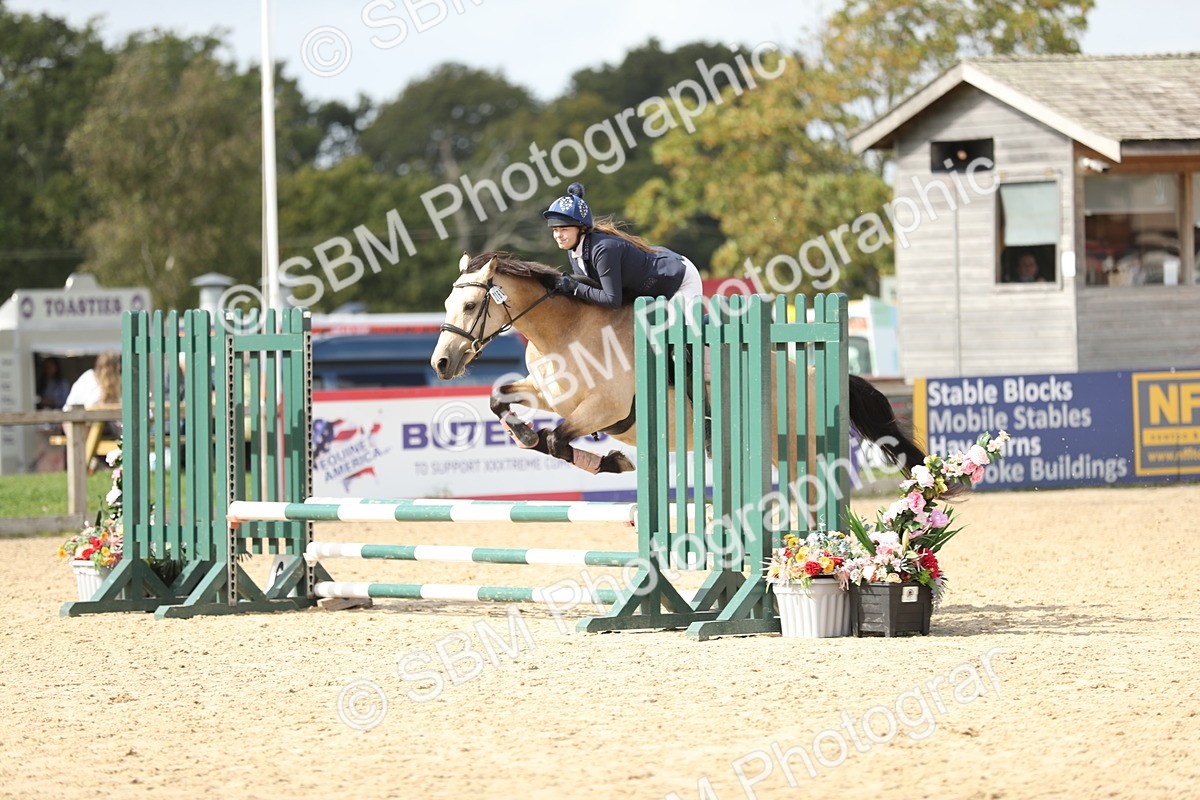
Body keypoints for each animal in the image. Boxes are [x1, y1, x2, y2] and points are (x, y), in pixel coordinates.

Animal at [430, 252, 926, 476]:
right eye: (448, 303)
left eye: (471, 304)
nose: (441, 363)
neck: (565, 332)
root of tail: (820, 374)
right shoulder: (551, 395)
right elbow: (502, 402)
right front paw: (527, 434)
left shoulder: (605, 409)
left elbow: (557, 439)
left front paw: (612, 464)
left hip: (796, 450)